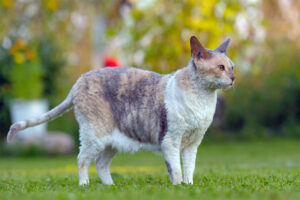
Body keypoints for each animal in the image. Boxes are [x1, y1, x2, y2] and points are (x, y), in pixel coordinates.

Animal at [7, 35, 236, 186]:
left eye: (232, 67)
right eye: (221, 68)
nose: (234, 78)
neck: (203, 100)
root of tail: (79, 81)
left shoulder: (192, 144)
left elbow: (189, 169)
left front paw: (189, 186)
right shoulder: (171, 141)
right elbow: (176, 170)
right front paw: (179, 188)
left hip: (111, 142)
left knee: (100, 163)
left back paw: (110, 187)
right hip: (95, 135)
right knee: (82, 159)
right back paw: (85, 186)